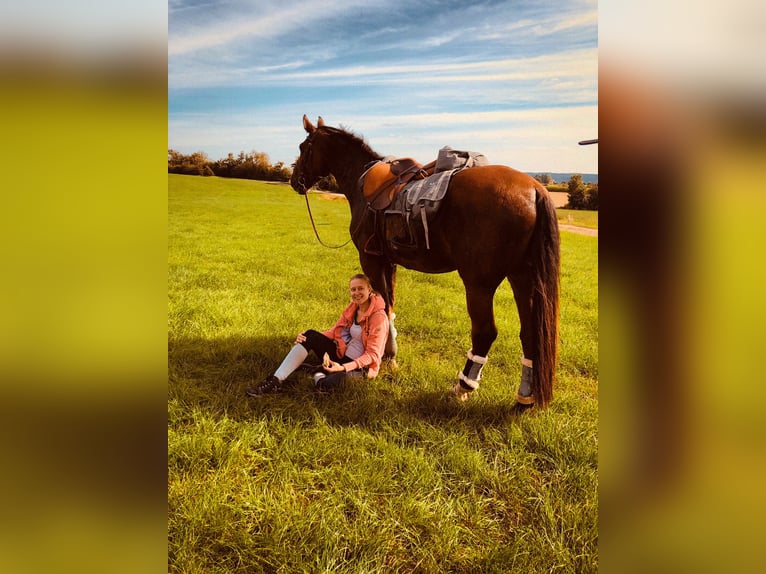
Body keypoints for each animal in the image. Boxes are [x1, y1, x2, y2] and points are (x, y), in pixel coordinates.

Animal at [292, 115, 560, 408]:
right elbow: (390, 306)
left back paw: (463, 386)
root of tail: (534, 189)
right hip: (522, 279)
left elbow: (382, 306)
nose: (294, 180)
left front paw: (386, 357)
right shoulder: (389, 262)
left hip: (479, 283)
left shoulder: (370, 260)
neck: (362, 183)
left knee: (485, 332)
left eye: (303, 147)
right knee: (531, 333)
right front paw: (390, 354)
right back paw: (525, 397)